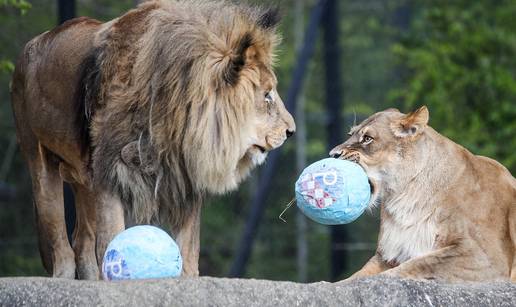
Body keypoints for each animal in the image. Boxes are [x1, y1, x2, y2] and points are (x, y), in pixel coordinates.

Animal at [10, 0, 294, 282]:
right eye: (267, 95)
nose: (291, 130)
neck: (174, 118)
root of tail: (32, 43)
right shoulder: (108, 168)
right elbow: (112, 235)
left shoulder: (185, 179)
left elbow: (188, 248)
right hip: (39, 160)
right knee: (58, 235)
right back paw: (64, 276)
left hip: (84, 179)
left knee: (82, 240)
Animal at [330, 106, 516, 284]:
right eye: (350, 135)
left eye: (367, 138)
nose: (332, 154)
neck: (404, 195)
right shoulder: (387, 254)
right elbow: (356, 277)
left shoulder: (486, 257)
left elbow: (420, 263)